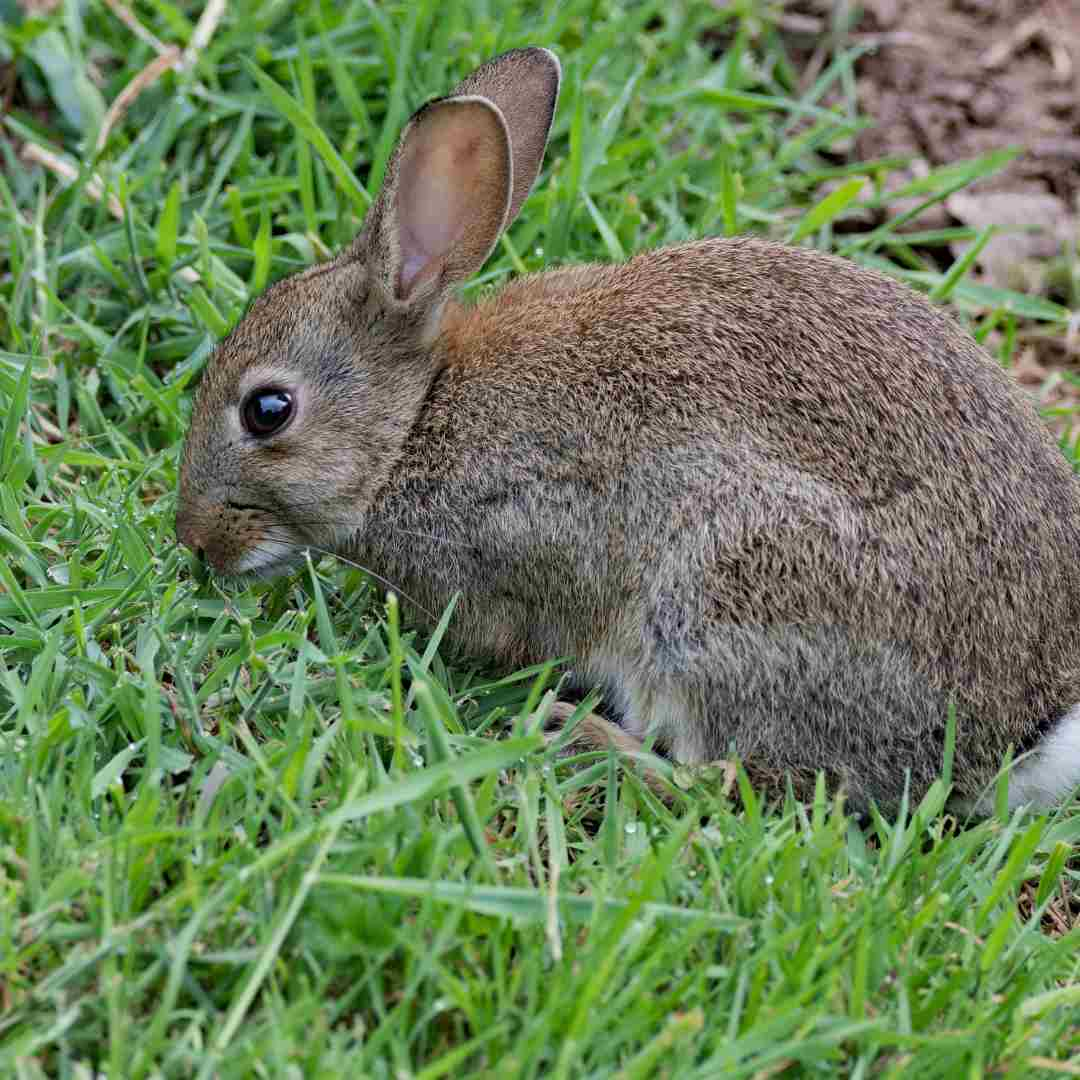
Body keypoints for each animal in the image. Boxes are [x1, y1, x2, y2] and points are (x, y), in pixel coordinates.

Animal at [172, 46, 1080, 812]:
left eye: (267, 410)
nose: (195, 541)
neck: (415, 423)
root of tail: (1018, 743)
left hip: (721, 594)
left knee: (738, 783)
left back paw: (581, 738)